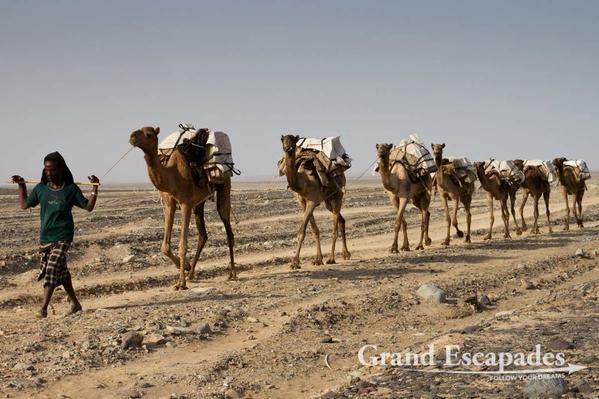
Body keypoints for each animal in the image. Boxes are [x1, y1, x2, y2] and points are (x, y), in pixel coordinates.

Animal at [129, 126, 237, 290]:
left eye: (149, 134)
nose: (132, 136)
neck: (173, 175)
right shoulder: (169, 205)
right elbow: (165, 247)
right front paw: (185, 267)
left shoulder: (186, 203)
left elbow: (182, 245)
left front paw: (181, 283)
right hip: (199, 203)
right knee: (203, 235)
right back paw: (191, 274)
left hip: (224, 183)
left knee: (227, 227)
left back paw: (232, 274)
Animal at [282, 136, 352, 270]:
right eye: (282, 140)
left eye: (293, 140)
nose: (287, 147)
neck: (303, 181)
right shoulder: (303, 202)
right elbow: (315, 230)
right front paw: (318, 259)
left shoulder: (312, 201)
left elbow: (302, 232)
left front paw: (295, 262)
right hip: (328, 201)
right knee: (341, 220)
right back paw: (346, 254)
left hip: (338, 195)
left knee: (335, 227)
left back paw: (332, 258)